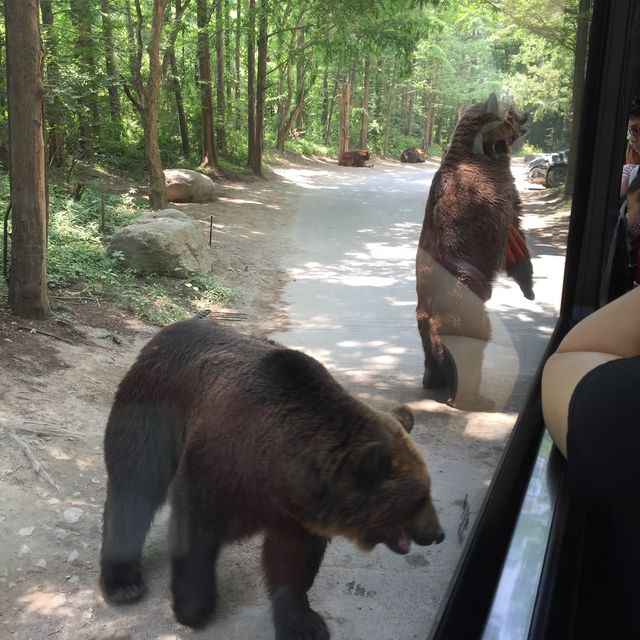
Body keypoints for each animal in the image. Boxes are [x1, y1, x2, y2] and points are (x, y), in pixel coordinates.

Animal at [100, 318, 442, 636]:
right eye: (418, 498)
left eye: (428, 491)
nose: (437, 534)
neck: (279, 470)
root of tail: (168, 330)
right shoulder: (219, 469)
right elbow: (195, 534)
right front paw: (193, 608)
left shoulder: (297, 516)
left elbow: (293, 564)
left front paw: (303, 624)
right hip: (151, 411)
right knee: (133, 488)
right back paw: (122, 582)